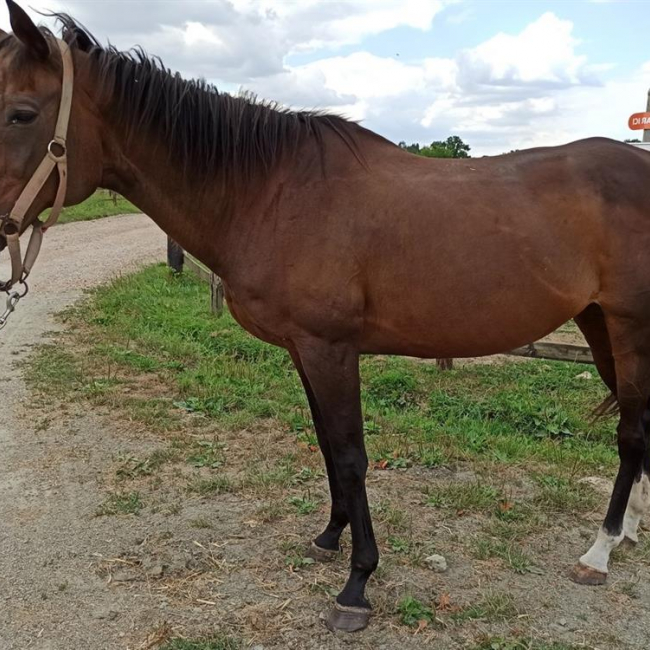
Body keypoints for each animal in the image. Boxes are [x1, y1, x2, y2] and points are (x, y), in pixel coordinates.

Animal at [1, 0, 650, 633]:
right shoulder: (303, 349)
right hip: (596, 325)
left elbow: (350, 454)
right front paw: (329, 536)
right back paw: (630, 531)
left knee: (631, 433)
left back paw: (600, 551)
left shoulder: (330, 348)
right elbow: (324, 444)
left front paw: (357, 585)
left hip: (628, 327)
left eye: (21, 114)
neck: (270, 193)